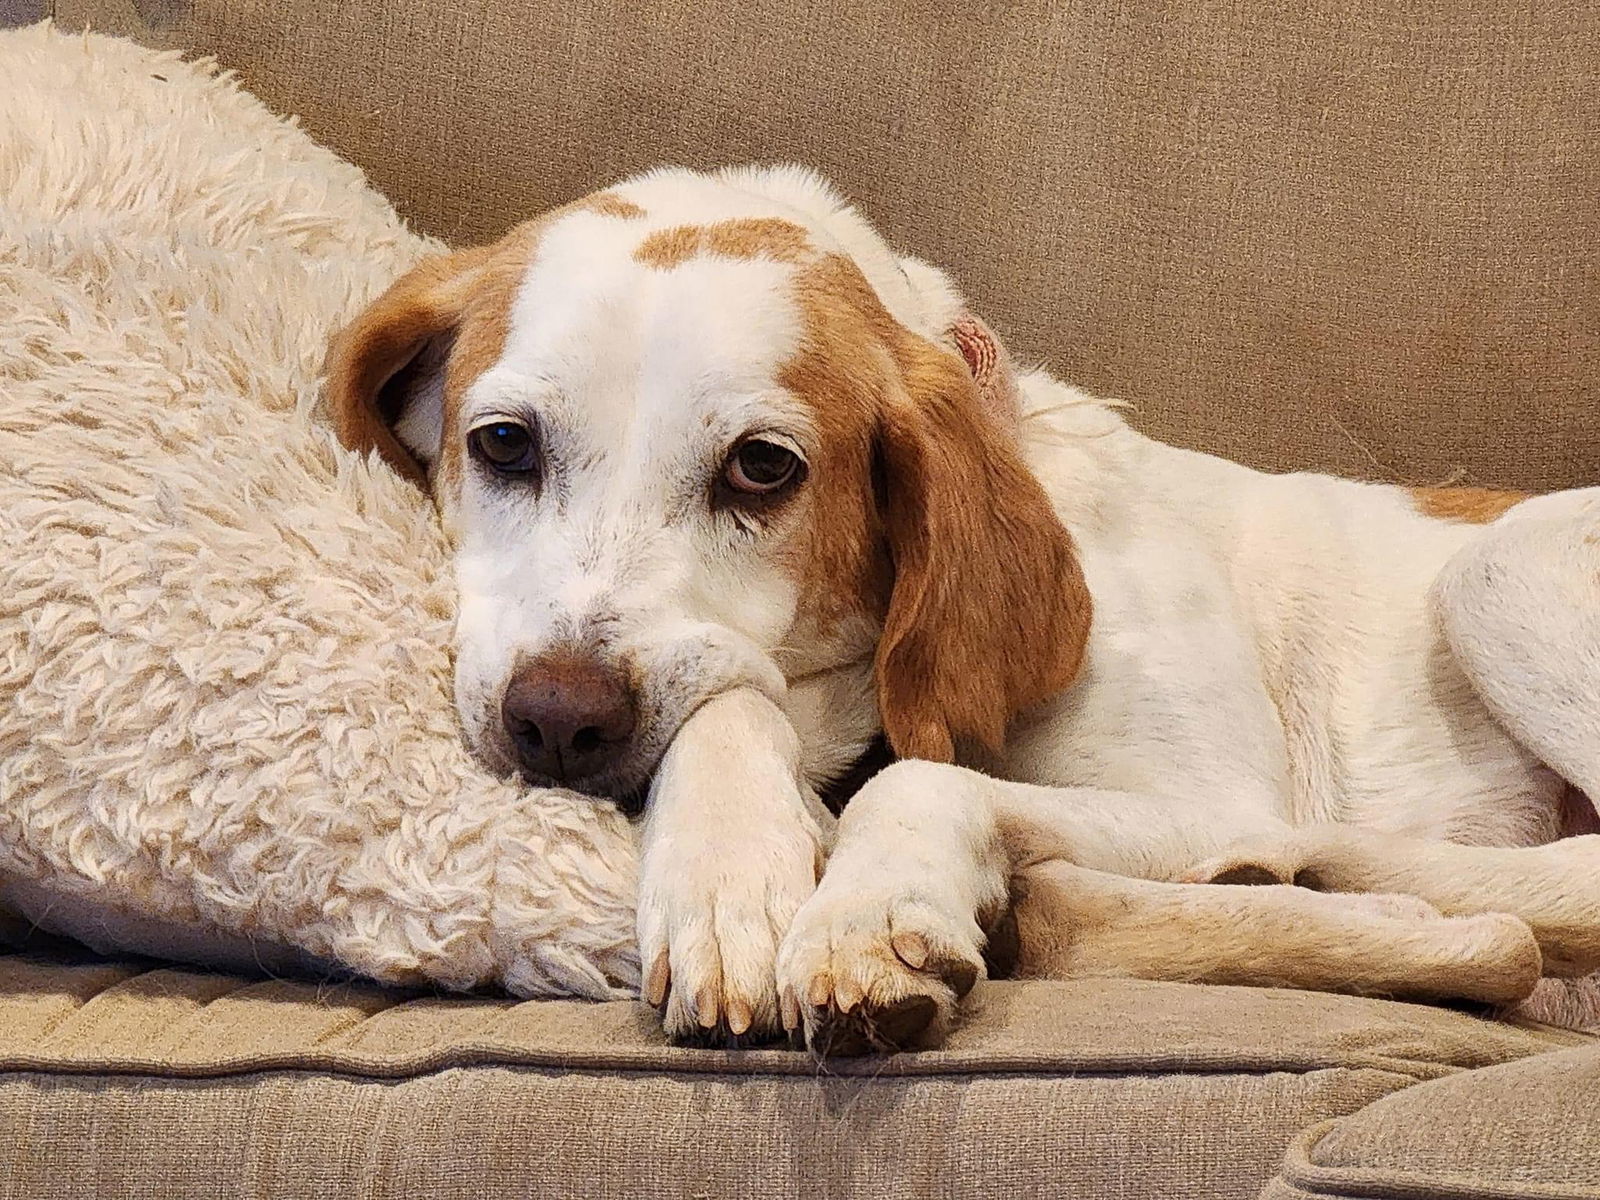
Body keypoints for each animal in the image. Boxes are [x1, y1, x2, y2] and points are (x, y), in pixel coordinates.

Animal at [324, 167, 1600, 1049]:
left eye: (761, 469)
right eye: (502, 444)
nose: (557, 721)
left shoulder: (1201, 790)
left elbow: (912, 779)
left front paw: (864, 912)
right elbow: (732, 707)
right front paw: (728, 880)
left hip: (1503, 569)